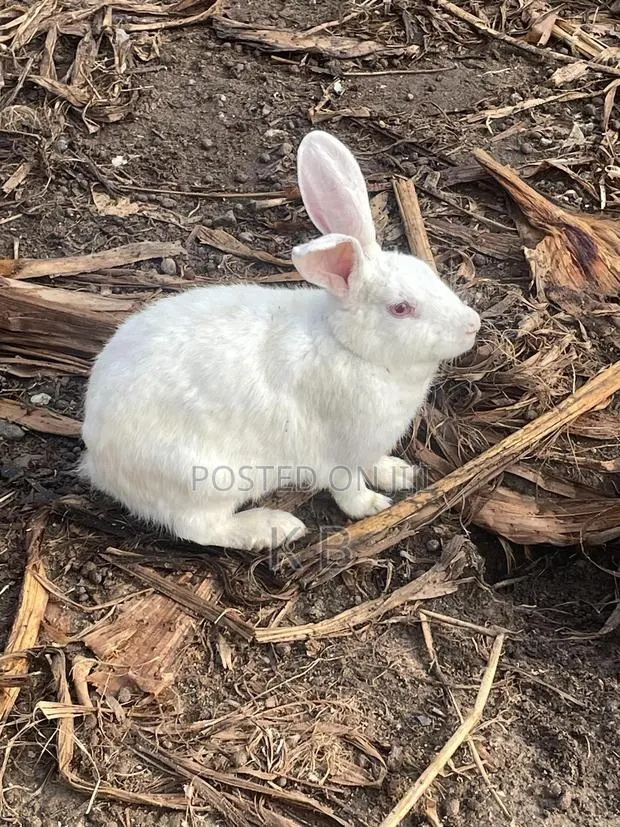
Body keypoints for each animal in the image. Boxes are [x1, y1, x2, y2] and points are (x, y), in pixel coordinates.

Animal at [79, 130, 480, 552]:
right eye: (401, 308)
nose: (472, 325)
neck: (348, 346)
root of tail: (99, 459)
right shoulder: (340, 454)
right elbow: (348, 489)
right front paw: (373, 505)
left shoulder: (369, 447)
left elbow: (375, 463)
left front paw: (398, 473)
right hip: (206, 481)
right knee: (198, 528)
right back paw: (276, 527)